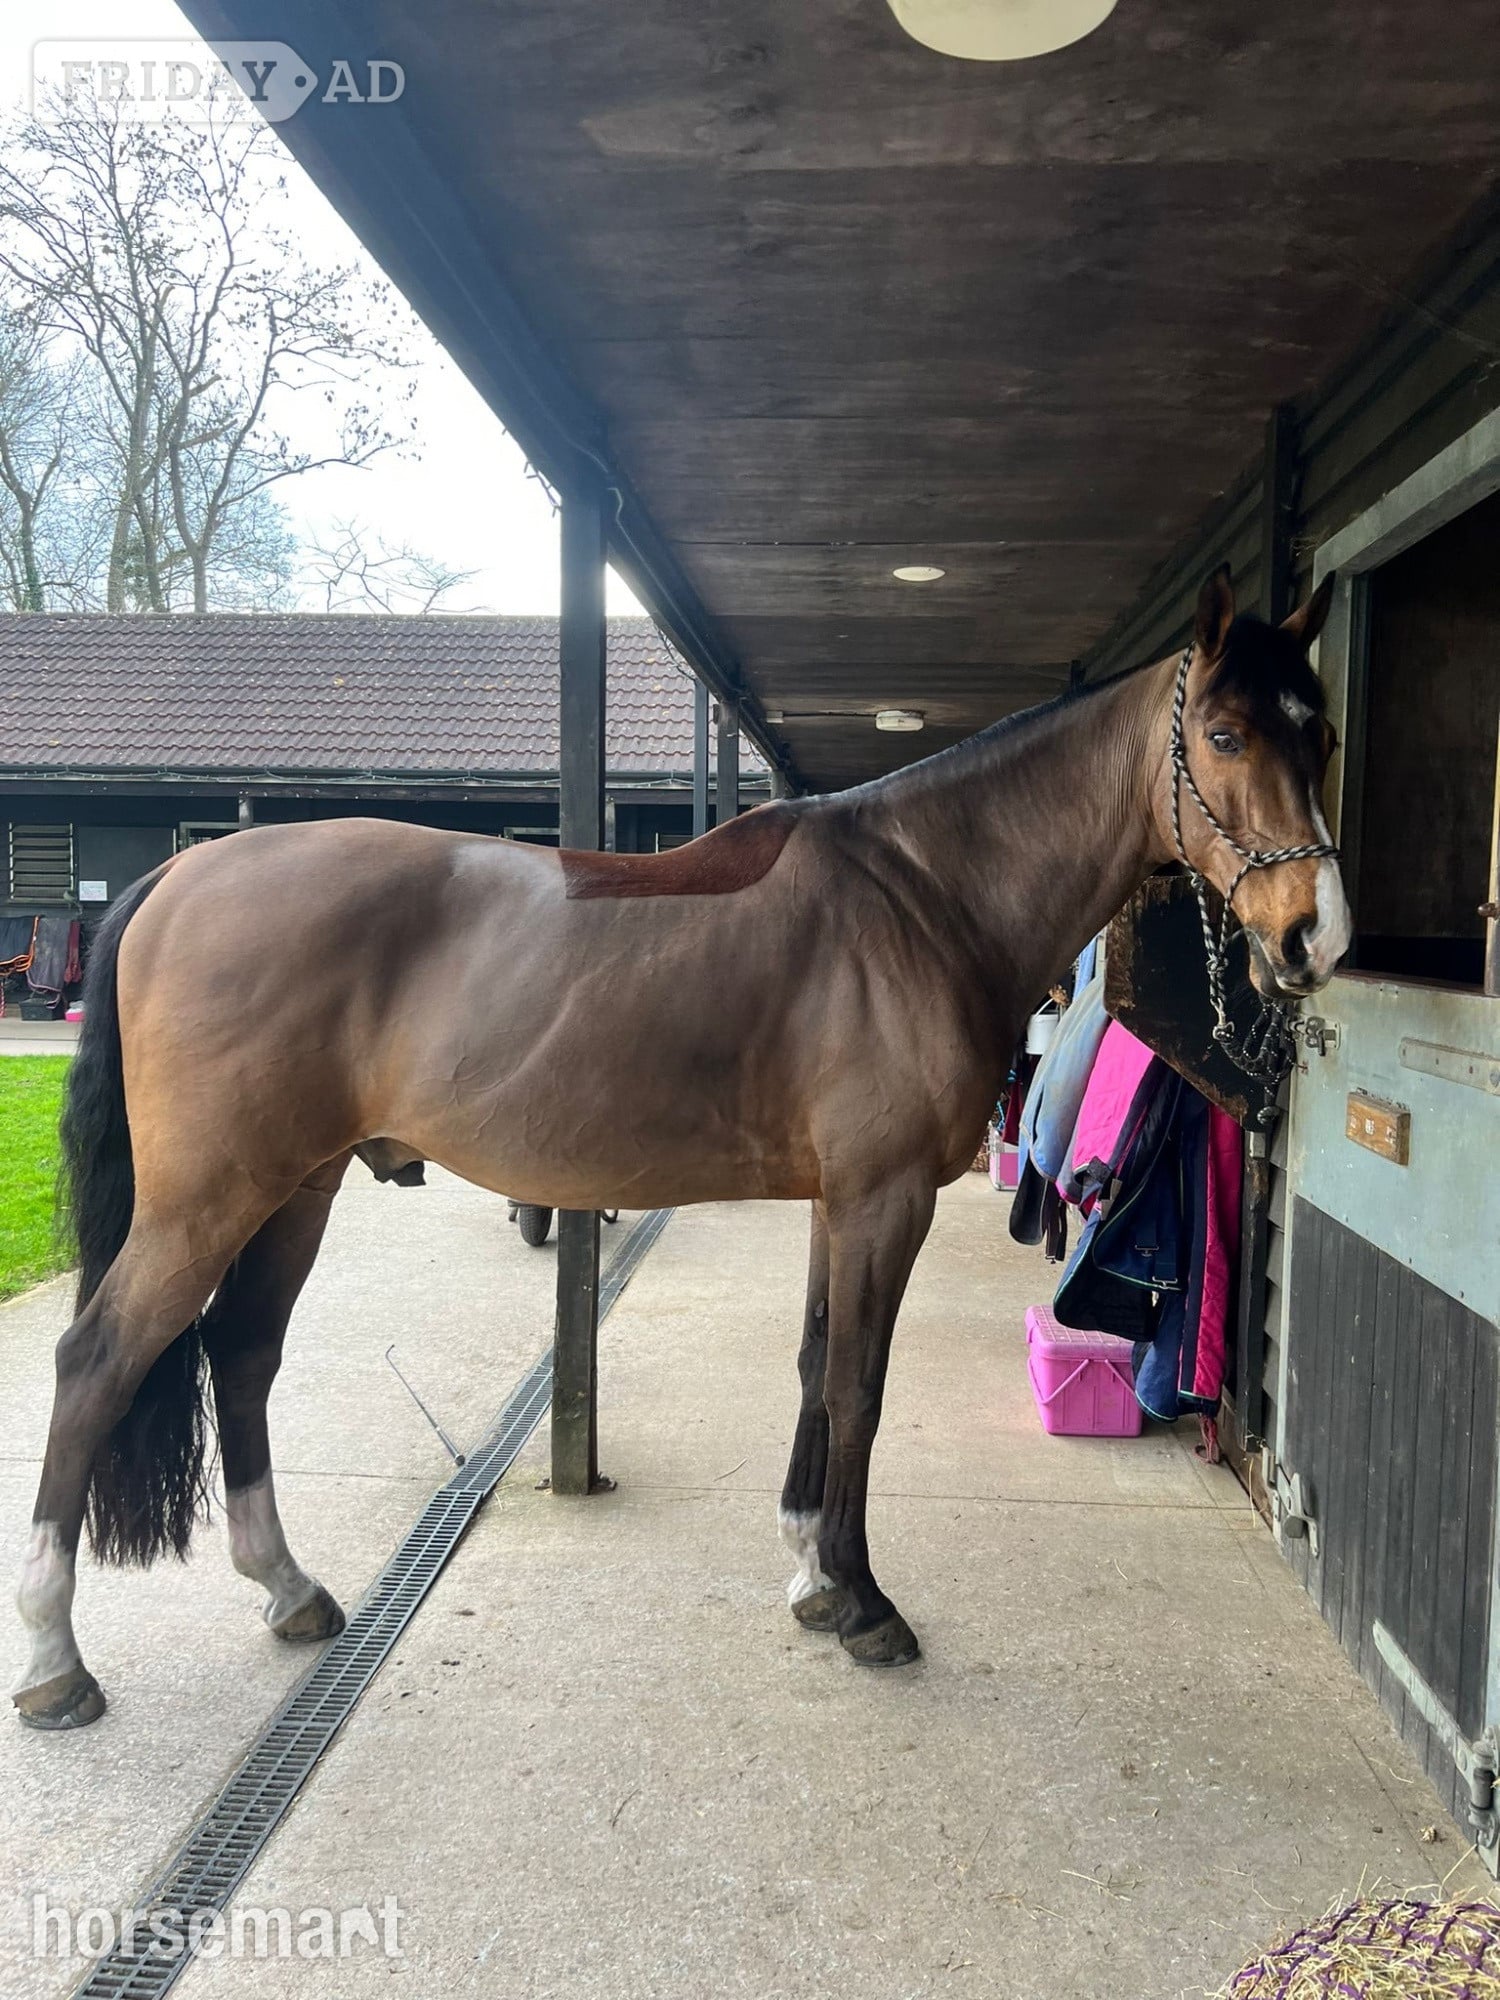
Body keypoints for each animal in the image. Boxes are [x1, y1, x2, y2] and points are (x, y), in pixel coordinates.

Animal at [14, 566, 1350, 1730]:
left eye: (1321, 733)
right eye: (1223, 735)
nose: (1314, 937)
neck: (920, 897)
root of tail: (183, 872)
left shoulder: (838, 1201)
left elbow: (814, 1367)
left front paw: (810, 1574)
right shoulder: (884, 1198)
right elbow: (859, 1386)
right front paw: (864, 1603)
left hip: (296, 1187)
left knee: (240, 1353)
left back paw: (288, 1589)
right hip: (208, 1199)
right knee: (94, 1363)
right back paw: (53, 1659)